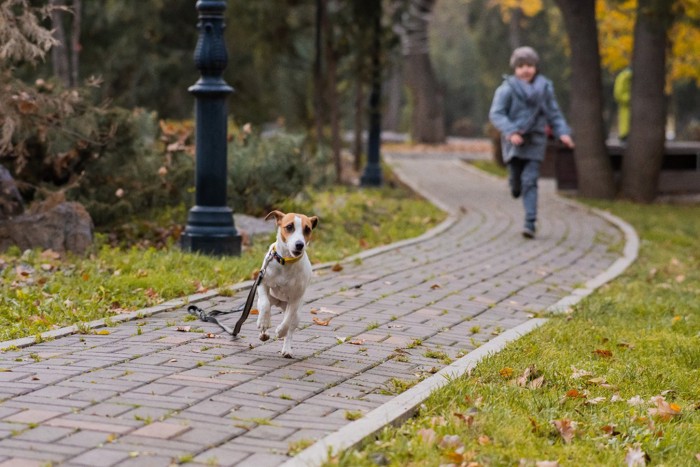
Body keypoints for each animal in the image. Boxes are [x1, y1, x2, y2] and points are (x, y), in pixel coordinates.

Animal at [258, 210, 320, 360]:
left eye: (307, 229)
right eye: (289, 227)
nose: (299, 244)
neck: (286, 261)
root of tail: (279, 303)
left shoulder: (295, 298)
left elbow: (287, 321)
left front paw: (280, 331)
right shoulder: (262, 282)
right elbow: (265, 305)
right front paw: (263, 323)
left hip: (297, 314)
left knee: (290, 329)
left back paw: (286, 349)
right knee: (264, 306)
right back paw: (264, 330)